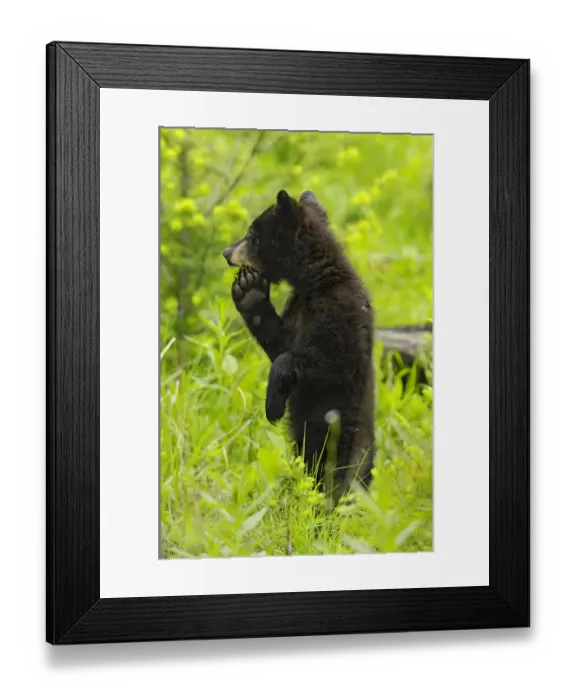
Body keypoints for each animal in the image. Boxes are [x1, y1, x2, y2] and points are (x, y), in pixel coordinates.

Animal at [223, 189, 375, 498]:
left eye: (252, 235)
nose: (226, 252)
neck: (316, 283)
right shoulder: (295, 312)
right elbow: (279, 343)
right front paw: (249, 293)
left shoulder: (342, 313)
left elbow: (331, 361)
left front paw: (273, 404)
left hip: (346, 435)